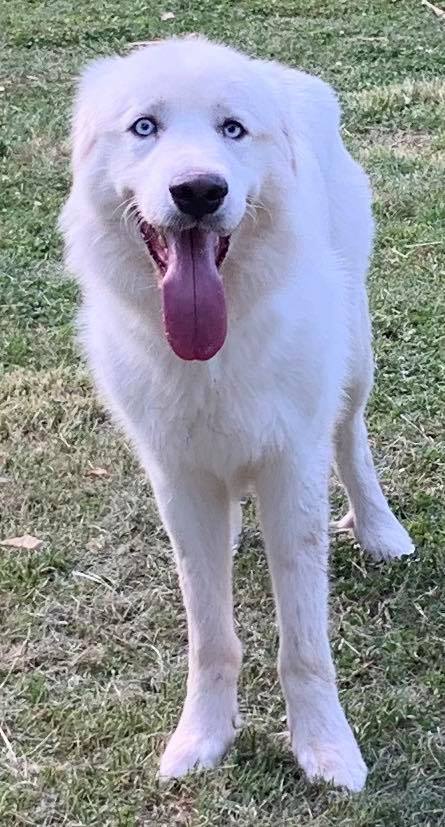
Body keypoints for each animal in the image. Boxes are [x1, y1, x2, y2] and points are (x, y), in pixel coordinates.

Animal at [59, 35, 412, 792]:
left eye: (232, 130)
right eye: (145, 127)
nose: (199, 190)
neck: (208, 353)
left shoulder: (291, 473)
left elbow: (304, 644)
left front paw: (326, 750)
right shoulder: (179, 482)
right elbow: (210, 638)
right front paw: (203, 739)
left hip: (354, 362)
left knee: (352, 439)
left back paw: (380, 530)